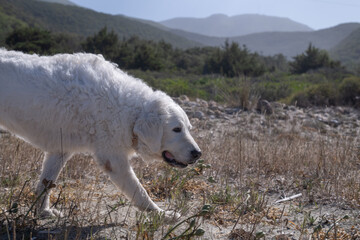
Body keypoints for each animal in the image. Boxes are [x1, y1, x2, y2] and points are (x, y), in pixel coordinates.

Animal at [0, 48, 202, 221]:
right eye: (176, 129)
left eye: (187, 128)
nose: (198, 154)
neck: (128, 110)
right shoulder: (114, 160)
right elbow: (140, 192)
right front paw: (161, 214)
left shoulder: (60, 151)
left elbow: (46, 184)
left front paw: (43, 212)